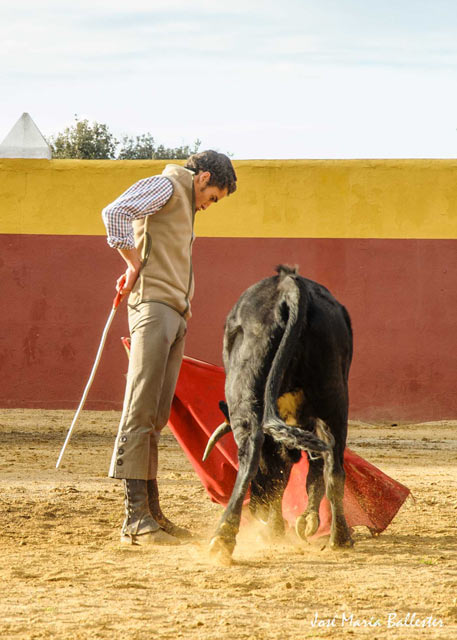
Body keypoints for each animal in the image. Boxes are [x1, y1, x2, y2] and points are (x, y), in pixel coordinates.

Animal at [203, 262, 352, 564]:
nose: (257, 509)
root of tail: (290, 286)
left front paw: (276, 527)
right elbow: (313, 470)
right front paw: (306, 520)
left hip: (245, 389)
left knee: (250, 453)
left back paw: (224, 537)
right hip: (334, 397)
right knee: (334, 466)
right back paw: (340, 537)